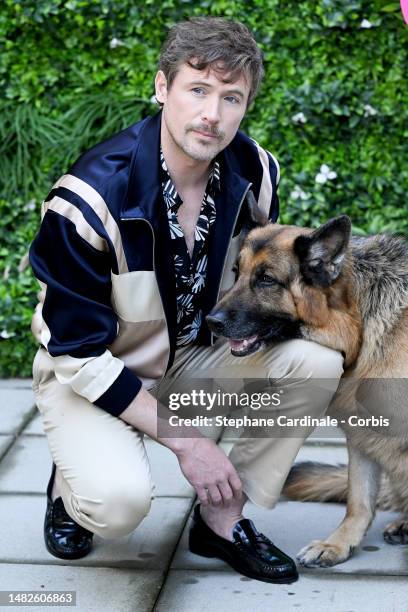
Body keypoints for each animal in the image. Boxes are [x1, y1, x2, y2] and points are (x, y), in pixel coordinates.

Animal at [207, 202, 408, 568]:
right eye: (236, 272)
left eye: (266, 279)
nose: (210, 322)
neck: (360, 328)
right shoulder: (363, 433)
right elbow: (359, 500)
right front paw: (338, 544)